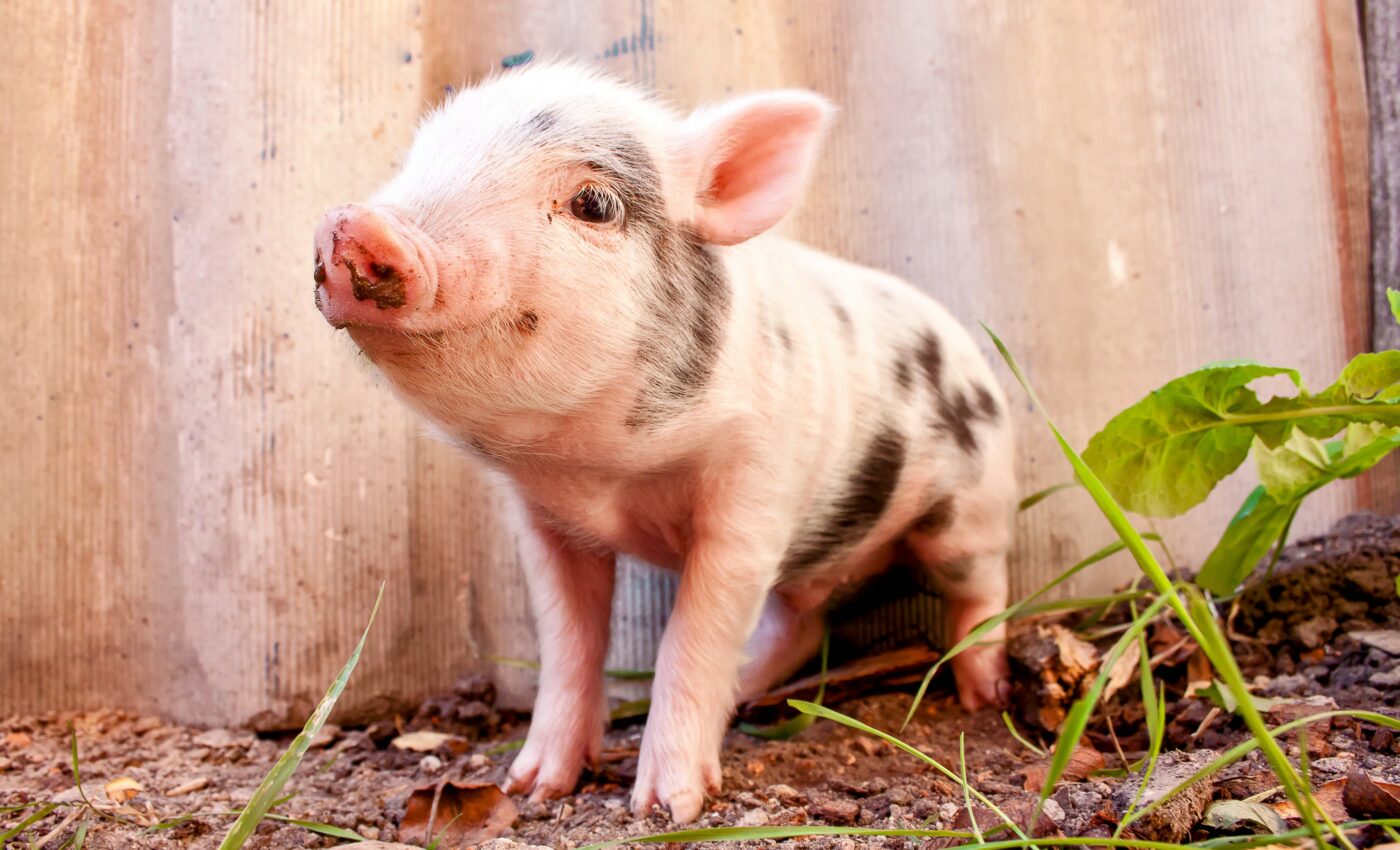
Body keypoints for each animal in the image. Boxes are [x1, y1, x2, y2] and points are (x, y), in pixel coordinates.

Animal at [312, 62, 1016, 824]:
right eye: (417, 160)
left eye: (594, 203)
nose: (352, 223)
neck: (602, 471)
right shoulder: (543, 521)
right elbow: (567, 641)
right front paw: (530, 787)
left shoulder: (753, 494)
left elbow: (693, 636)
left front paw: (666, 809)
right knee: (800, 620)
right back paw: (750, 690)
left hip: (968, 510)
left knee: (982, 588)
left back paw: (986, 693)